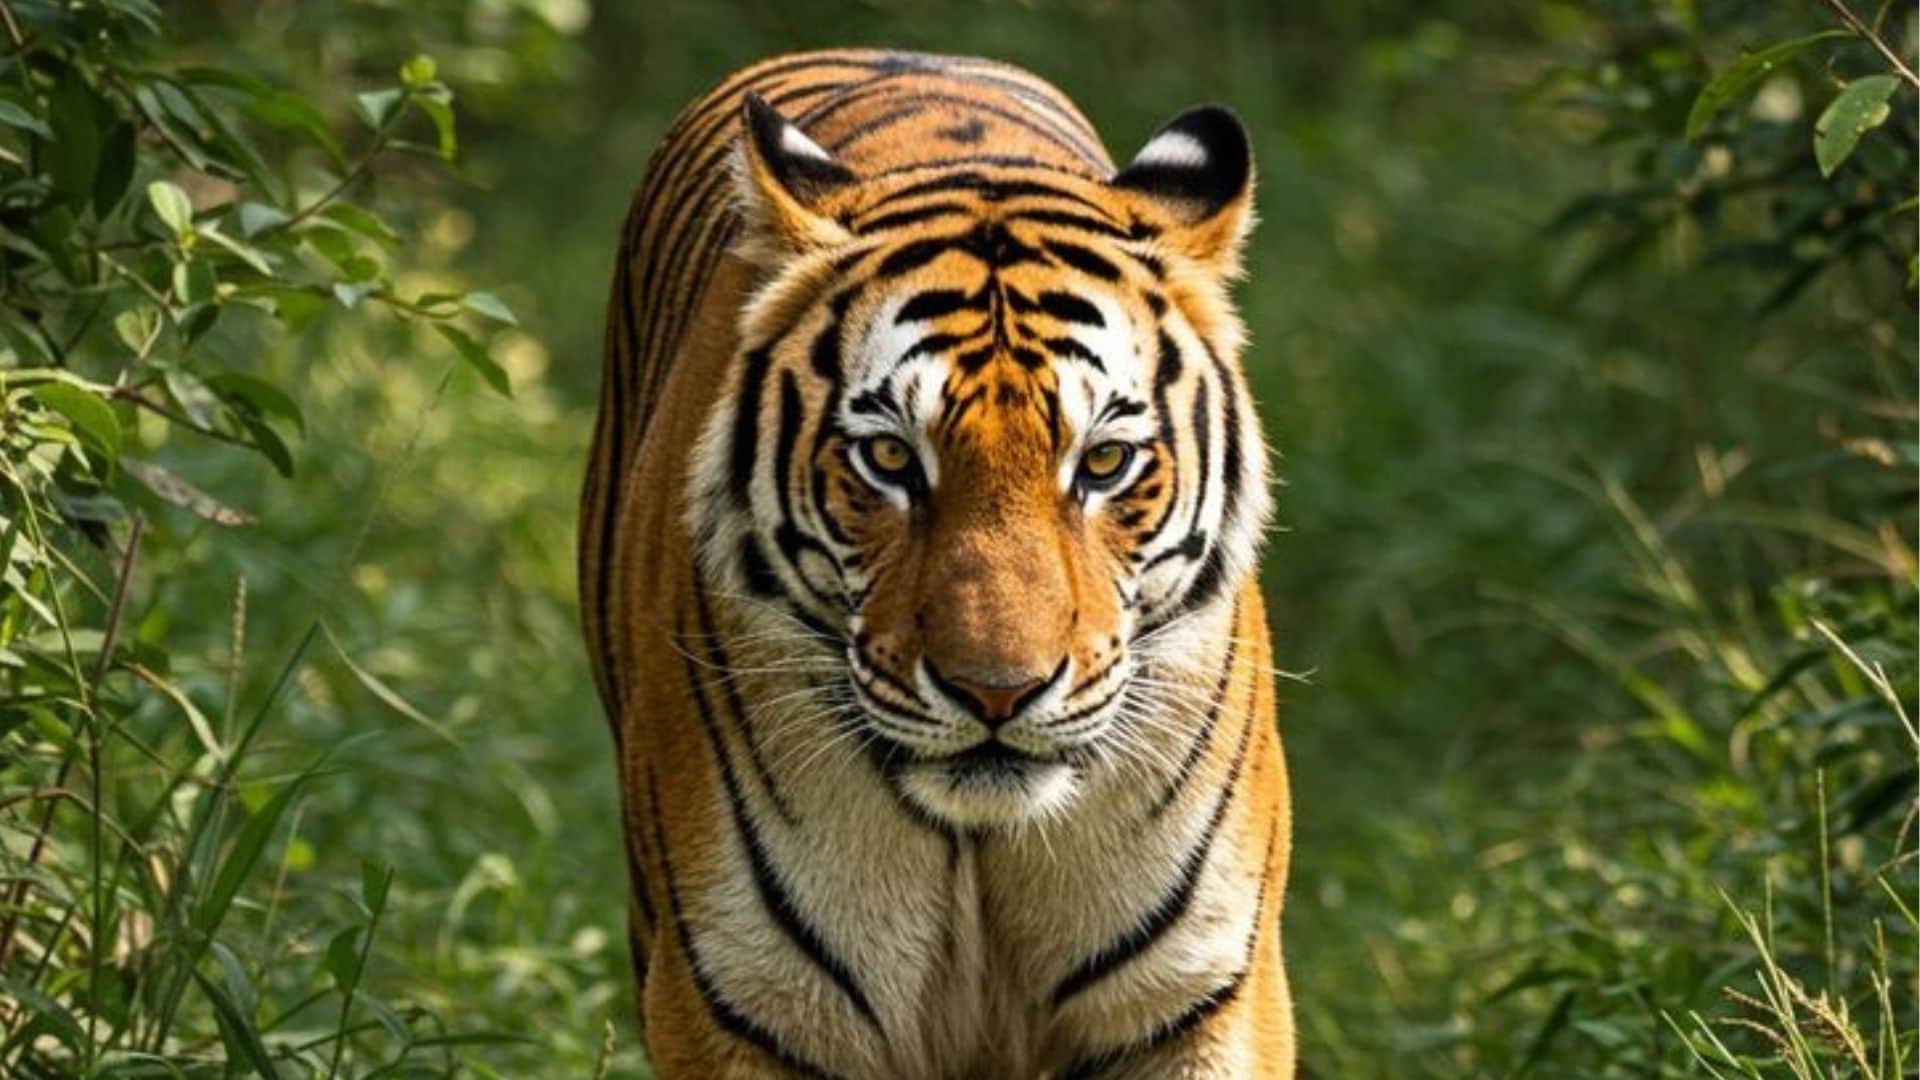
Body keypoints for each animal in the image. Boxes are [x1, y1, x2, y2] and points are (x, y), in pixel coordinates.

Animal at [579, 48, 1292, 1078]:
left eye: (1103, 463)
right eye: (888, 458)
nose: (998, 692)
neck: (980, 840)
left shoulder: (1198, 997)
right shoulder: (743, 1002)